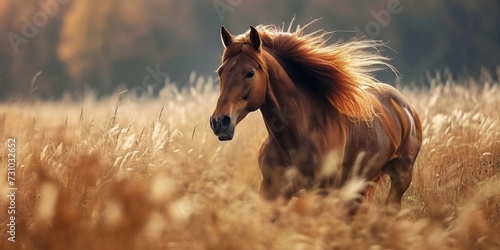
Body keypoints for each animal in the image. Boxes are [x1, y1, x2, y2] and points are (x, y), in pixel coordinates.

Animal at [207, 23, 422, 217]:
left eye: (250, 73)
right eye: (220, 72)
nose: (220, 122)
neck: (299, 134)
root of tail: (405, 107)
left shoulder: (323, 192)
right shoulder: (271, 191)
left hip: (400, 176)